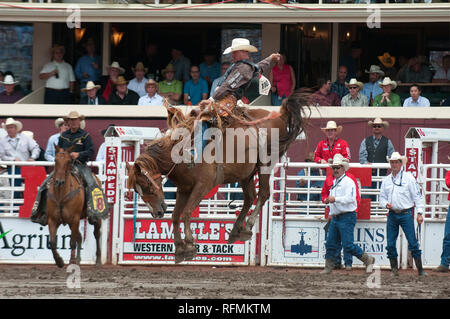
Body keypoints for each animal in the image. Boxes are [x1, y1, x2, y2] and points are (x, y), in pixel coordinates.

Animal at [126, 94, 310, 264]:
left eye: (148, 186)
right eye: (136, 190)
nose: (156, 213)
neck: (179, 152)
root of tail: (280, 115)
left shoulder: (203, 186)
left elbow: (186, 212)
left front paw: (190, 245)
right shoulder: (184, 188)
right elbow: (176, 216)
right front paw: (179, 249)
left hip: (266, 164)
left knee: (263, 194)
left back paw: (248, 226)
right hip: (246, 173)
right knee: (249, 197)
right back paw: (236, 231)